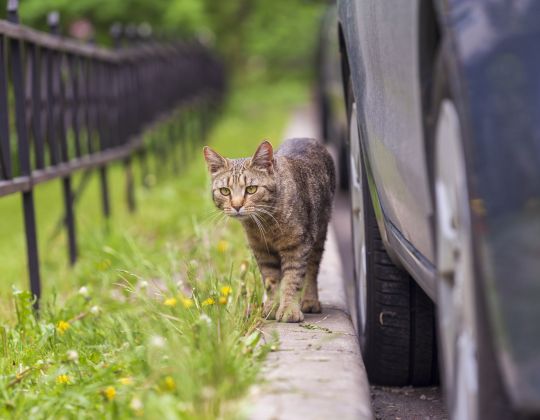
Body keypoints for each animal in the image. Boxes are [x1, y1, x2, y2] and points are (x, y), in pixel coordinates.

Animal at [204, 139, 336, 324]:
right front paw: (273, 306)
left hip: (319, 233)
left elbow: (292, 279)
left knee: (312, 269)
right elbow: (271, 281)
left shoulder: (297, 247)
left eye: (251, 189)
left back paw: (310, 300)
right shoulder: (262, 250)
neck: (266, 224)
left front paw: (288, 309)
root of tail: (307, 139)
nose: (237, 206)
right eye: (225, 191)